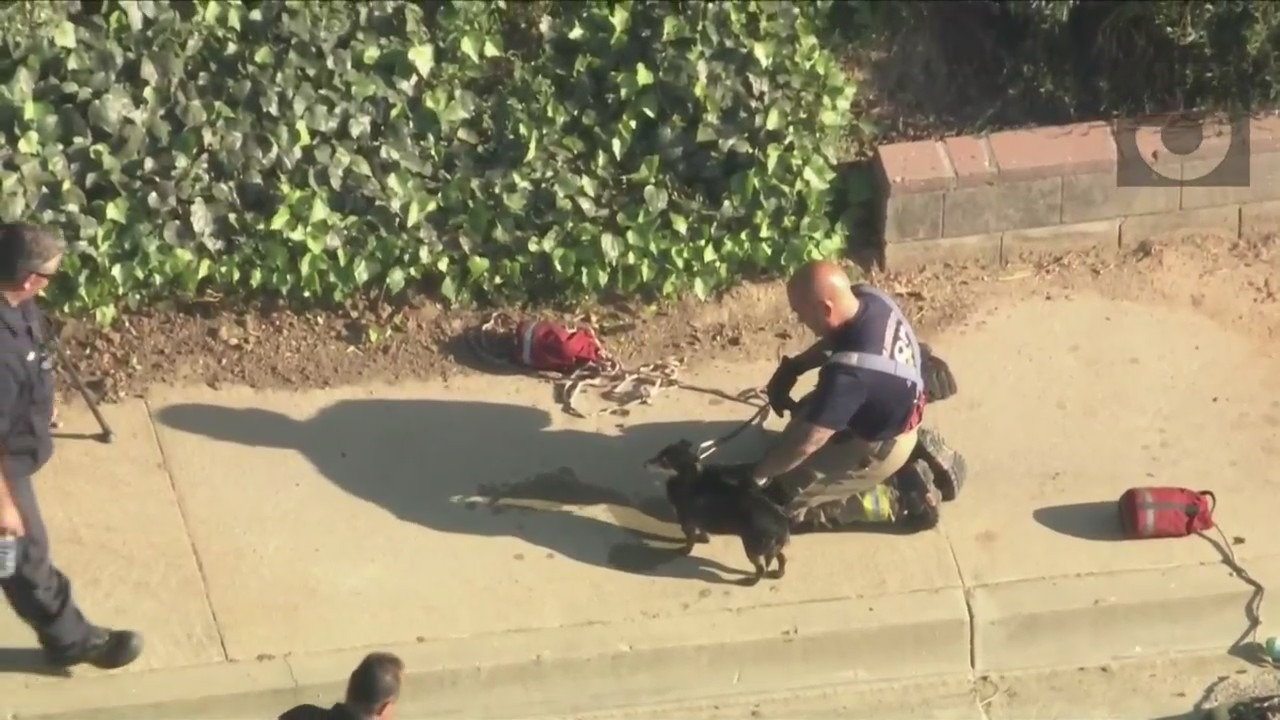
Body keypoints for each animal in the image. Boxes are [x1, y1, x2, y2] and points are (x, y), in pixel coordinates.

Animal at [640, 438, 788, 584]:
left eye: (665, 461)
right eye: (659, 454)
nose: (645, 464)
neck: (688, 477)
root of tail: (781, 523)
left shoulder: (686, 521)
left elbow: (690, 540)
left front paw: (686, 551)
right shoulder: (699, 520)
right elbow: (702, 532)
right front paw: (704, 539)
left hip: (752, 548)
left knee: (762, 569)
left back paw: (749, 582)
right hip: (769, 548)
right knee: (782, 557)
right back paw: (778, 573)